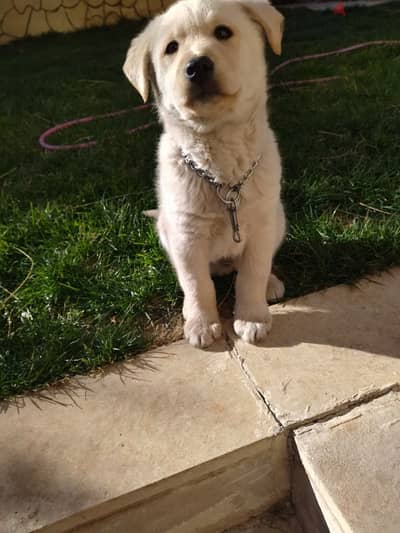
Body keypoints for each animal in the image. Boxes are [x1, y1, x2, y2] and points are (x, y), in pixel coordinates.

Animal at [123, 0, 286, 348]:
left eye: (223, 32)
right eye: (171, 48)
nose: (197, 66)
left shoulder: (262, 225)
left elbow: (252, 271)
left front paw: (252, 316)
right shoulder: (186, 236)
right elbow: (197, 284)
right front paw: (201, 322)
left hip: (279, 218)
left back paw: (270, 282)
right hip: (165, 231)